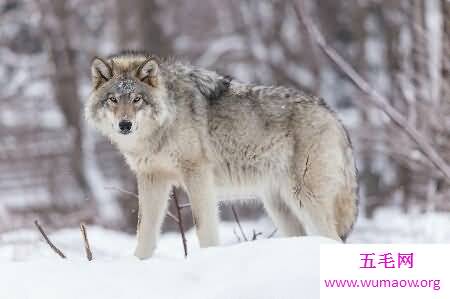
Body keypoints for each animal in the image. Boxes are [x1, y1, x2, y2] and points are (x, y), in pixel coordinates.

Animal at [84, 51, 358, 260]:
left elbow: (203, 226)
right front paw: (139, 262)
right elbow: (145, 230)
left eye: (137, 99)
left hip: (305, 200)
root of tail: (333, 115)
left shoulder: (197, 174)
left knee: (334, 239)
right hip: (280, 207)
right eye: (113, 99)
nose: (125, 125)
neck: (164, 122)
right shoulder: (152, 178)